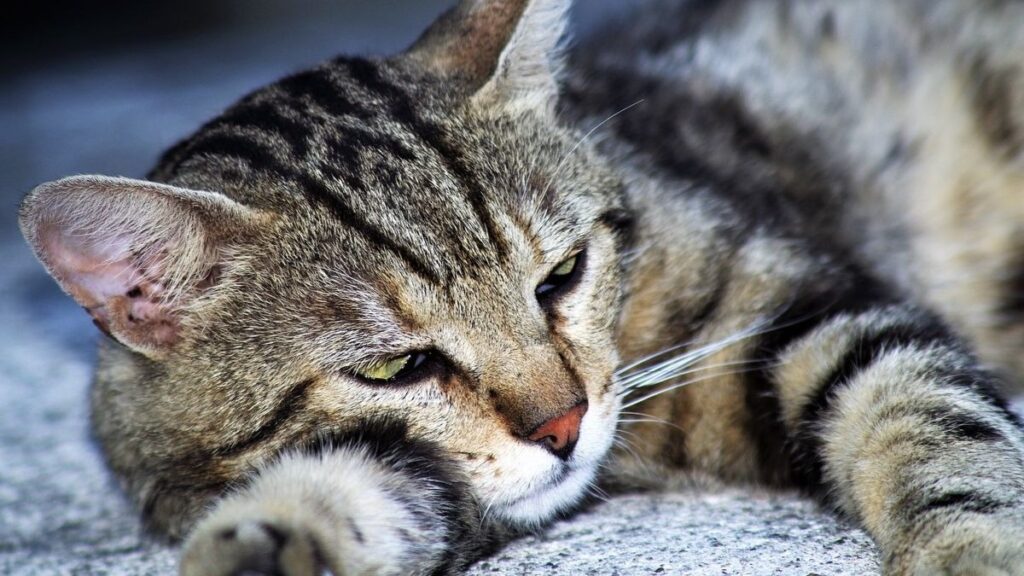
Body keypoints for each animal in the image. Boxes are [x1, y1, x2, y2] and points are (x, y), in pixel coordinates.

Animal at [16, 0, 1024, 569]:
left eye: (562, 276)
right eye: (393, 368)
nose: (564, 427)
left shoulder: (811, 311)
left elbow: (934, 428)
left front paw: (971, 550)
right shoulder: (408, 462)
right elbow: (348, 480)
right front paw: (267, 546)